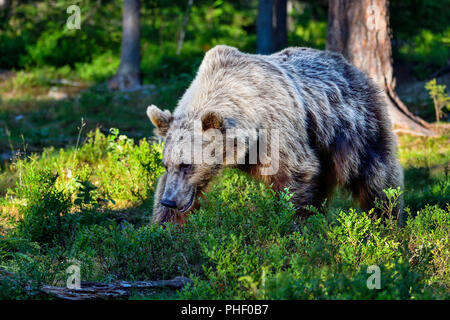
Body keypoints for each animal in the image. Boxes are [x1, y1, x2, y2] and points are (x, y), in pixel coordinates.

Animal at [147, 44, 404, 225]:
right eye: (165, 164)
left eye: (187, 164)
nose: (170, 200)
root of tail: (353, 67)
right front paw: (163, 229)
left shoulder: (276, 131)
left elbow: (294, 177)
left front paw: (293, 227)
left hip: (355, 127)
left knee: (377, 177)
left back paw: (386, 221)